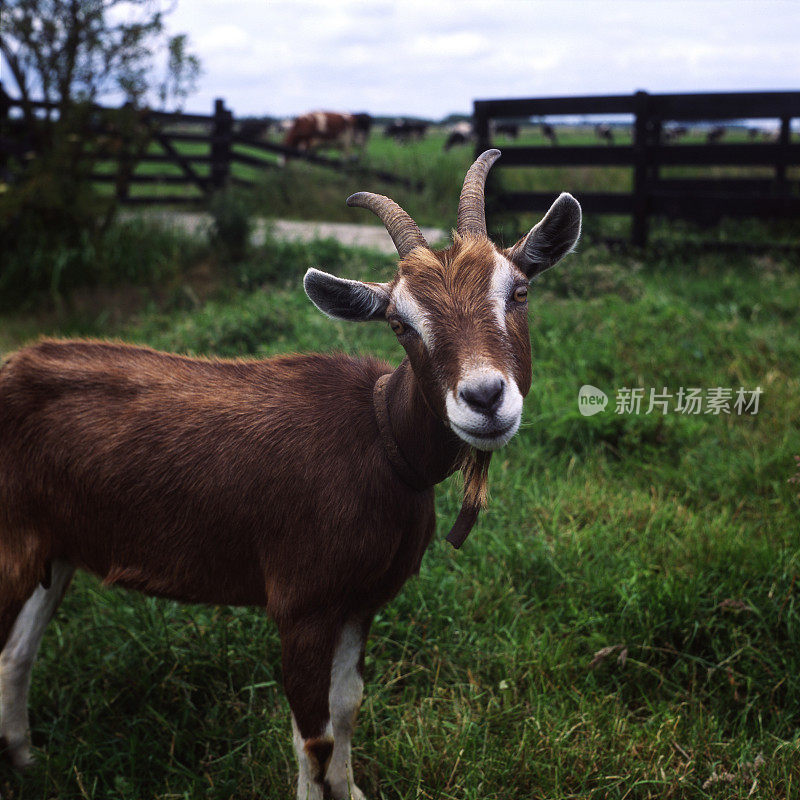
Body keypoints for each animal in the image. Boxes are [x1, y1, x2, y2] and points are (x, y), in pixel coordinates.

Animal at [0, 152, 580, 800]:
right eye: (400, 324)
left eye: (519, 291)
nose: (484, 397)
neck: (380, 438)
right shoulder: (302, 603)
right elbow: (314, 735)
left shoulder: (362, 599)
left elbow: (347, 706)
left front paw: (351, 790)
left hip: (55, 546)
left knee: (17, 651)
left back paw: (25, 758)